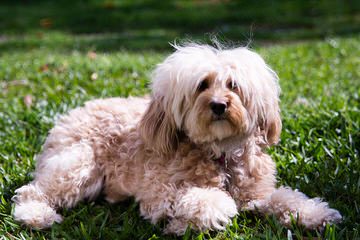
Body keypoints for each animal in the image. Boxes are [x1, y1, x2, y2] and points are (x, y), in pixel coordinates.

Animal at [12, 42, 342, 234]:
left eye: (233, 85)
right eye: (202, 85)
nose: (219, 105)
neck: (220, 154)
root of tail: (67, 116)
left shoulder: (257, 193)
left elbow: (286, 197)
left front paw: (314, 213)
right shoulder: (157, 193)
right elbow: (201, 199)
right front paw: (201, 214)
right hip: (77, 165)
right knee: (31, 191)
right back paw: (36, 215)